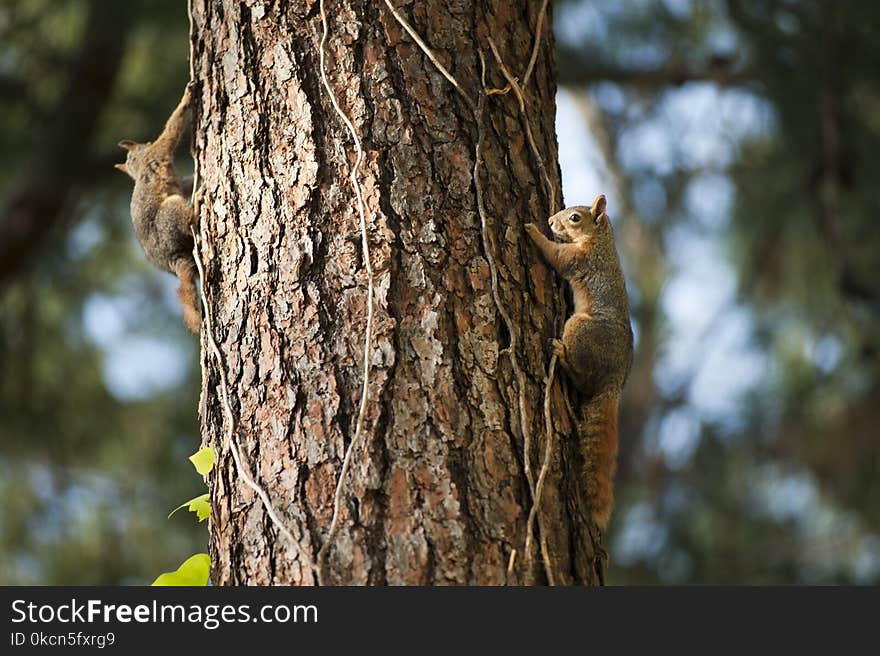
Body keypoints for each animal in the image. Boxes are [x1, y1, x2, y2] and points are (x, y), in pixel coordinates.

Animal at [114, 84, 200, 334]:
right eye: (147, 142)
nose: (147, 141)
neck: (139, 164)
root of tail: (173, 257)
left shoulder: (177, 180)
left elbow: (187, 183)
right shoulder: (161, 150)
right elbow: (172, 129)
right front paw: (187, 97)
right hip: (170, 213)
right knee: (186, 223)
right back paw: (197, 207)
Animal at [528, 193, 632, 528]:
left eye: (575, 218)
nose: (550, 221)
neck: (600, 239)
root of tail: (615, 380)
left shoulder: (578, 259)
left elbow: (555, 256)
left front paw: (533, 232)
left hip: (578, 327)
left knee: (581, 379)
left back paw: (561, 356)